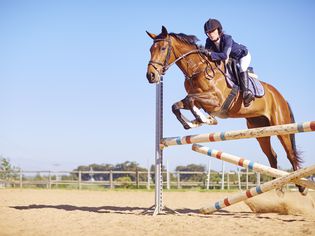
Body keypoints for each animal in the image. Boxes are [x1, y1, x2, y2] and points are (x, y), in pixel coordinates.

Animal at [146, 25, 308, 195]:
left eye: (163, 48)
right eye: (151, 49)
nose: (151, 76)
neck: (198, 70)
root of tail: (281, 97)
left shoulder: (216, 101)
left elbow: (191, 101)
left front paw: (205, 119)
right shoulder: (198, 100)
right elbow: (177, 105)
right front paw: (192, 123)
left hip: (280, 126)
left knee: (290, 154)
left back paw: (301, 187)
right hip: (259, 129)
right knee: (272, 156)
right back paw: (276, 185)